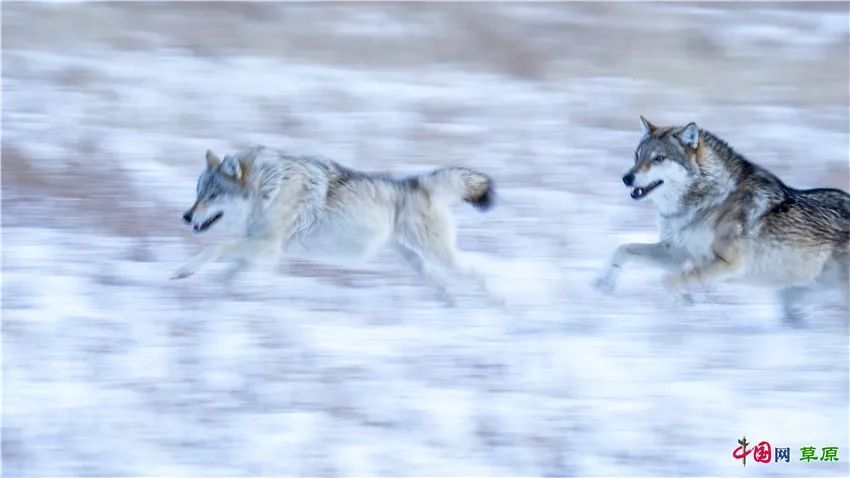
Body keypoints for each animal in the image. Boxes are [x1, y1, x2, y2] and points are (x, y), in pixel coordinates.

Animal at [171, 144, 496, 304]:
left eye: (212, 196)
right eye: (198, 193)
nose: (186, 216)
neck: (268, 189)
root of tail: (418, 183)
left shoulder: (266, 246)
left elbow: (215, 249)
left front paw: (184, 270)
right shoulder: (263, 251)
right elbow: (230, 270)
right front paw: (218, 292)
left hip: (441, 256)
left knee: (478, 269)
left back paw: (499, 300)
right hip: (418, 262)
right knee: (443, 284)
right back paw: (451, 306)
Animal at [596, 116, 848, 326]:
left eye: (658, 158)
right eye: (637, 156)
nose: (626, 178)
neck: (706, 199)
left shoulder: (729, 263)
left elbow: (670, 280)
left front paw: (681, 306)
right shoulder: (677, 254)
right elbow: (623, 249)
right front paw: (603, 283)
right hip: (793, 292)